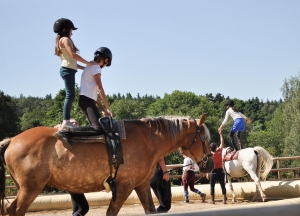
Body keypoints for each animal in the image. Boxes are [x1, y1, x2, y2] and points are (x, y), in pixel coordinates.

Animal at [0, 115, 213, 214]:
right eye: (204, 138)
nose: (209, 164)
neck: (148, 140)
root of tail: (11, 140)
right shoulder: (125, 186)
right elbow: (111, 211)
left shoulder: (142, 185)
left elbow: (150, 210)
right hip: (31, 188)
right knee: (16, 211)